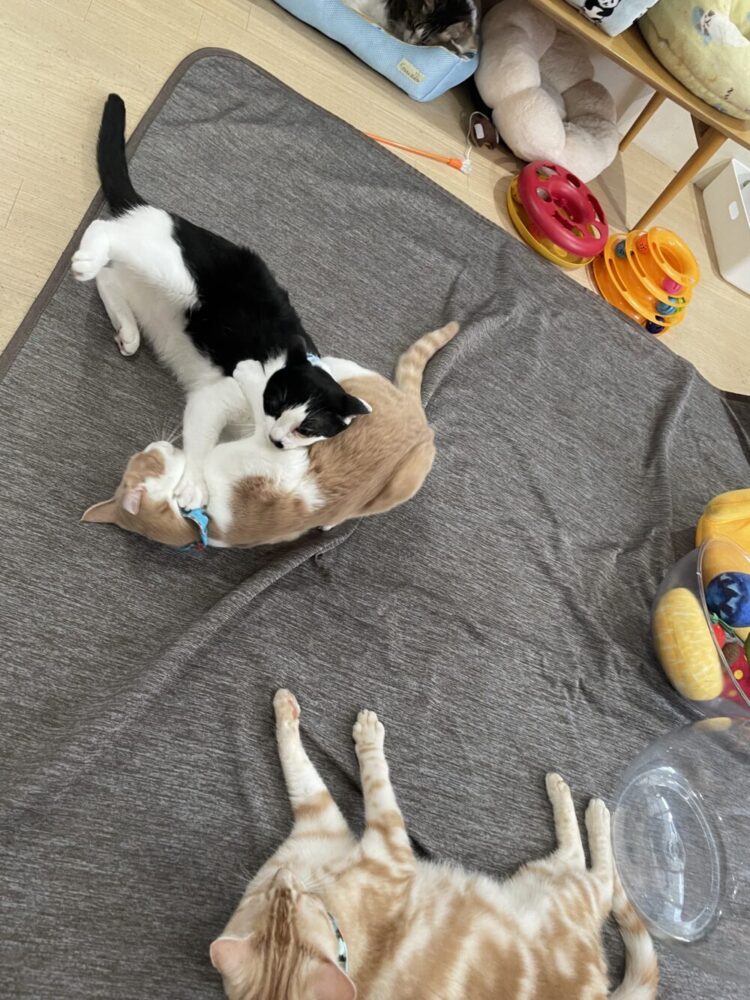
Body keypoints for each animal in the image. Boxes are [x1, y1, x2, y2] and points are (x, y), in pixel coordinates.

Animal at [71, 94, 370, 511]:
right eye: (277, 400)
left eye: (307, 428)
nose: (278, 438)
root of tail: (163, 214)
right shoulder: (214, 398)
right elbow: (200, 438)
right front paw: (194, 482)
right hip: (175, 273)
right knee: (105, 230)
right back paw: (88, 258)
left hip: (149, 292)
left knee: (110, 278)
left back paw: (126, 330)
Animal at [81, 322, 459, 548]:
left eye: (145, 457)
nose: (155, 443)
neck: (201, 523)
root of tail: (417, 414)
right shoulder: (277, 452)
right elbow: (265, 421)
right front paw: (251, 374)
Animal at [209, 689, 659, 1000]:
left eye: (288, 904)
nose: (287, 881)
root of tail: (601, 989)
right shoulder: (382, 839)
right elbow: (371, 778)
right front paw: (366, 735)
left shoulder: (324, 817)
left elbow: (300, 764)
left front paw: (286, 712)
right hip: (560, 884)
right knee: (595, 870)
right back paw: (593, 810)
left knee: (591, 866)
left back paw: (579, 801)